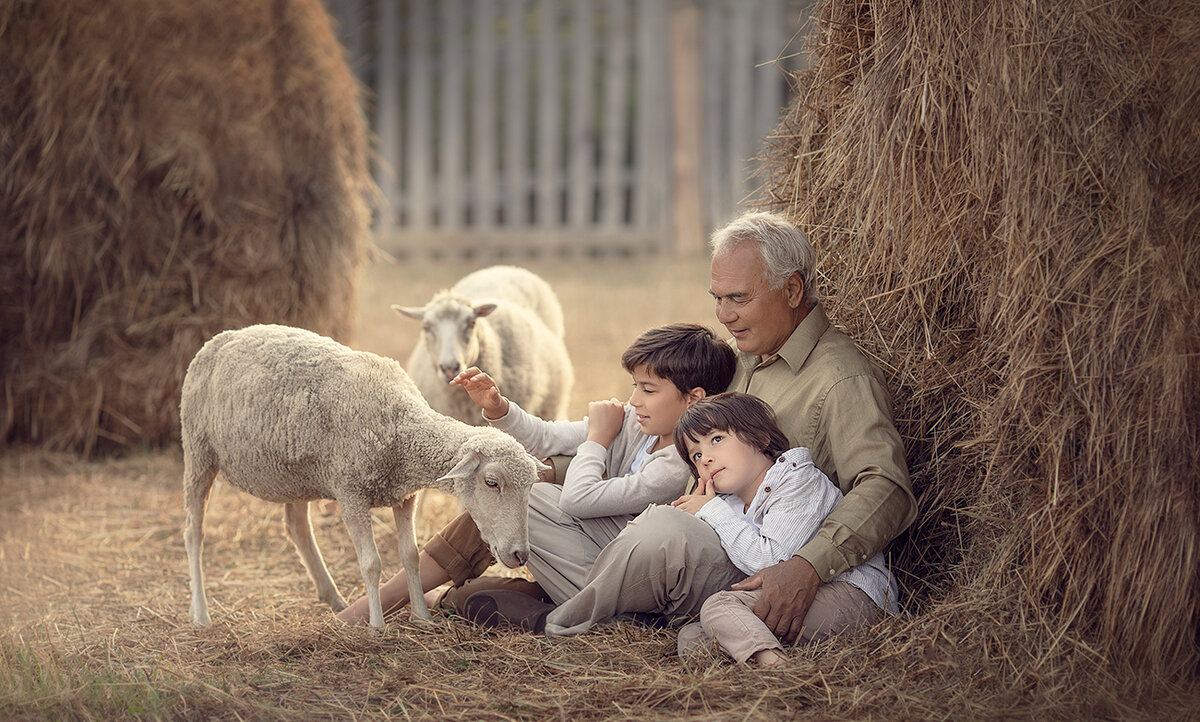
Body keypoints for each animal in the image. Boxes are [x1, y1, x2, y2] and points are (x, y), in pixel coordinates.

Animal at [181, 323, 549, 628]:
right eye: (492, 482)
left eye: (531, 486)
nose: (521, 554)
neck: (403, 427)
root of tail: (226, 336)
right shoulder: (351, 492)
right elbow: (371, 563)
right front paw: (377, 626)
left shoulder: (404, 495)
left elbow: (411, 556)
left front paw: (422, 617)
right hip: (197, 449)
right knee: (194, 532)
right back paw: (200, 615)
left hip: (296, 472)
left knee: (297, 526)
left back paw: (334, 600)